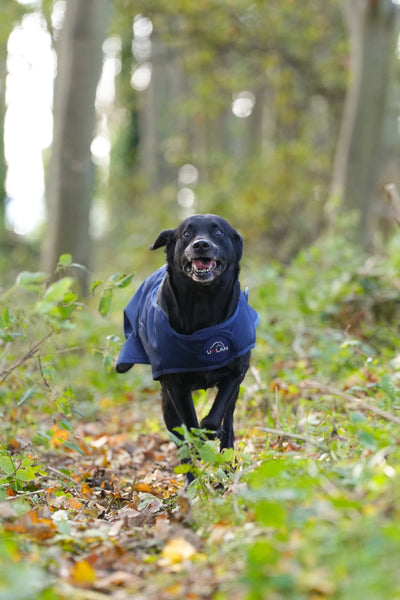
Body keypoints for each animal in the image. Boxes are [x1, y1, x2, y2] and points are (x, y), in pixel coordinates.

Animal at [116, 216, 260, 482]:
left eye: (218, 232)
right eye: (186, 234)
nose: (201, 244)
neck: (204, 300)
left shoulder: (237, 372)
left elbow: (216, 414)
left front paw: (210, 431)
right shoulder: (175, 385)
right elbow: (190, 427)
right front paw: (199, 441)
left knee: (229, 427)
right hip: (167, 405)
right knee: (182, 443)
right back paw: (193, 482)